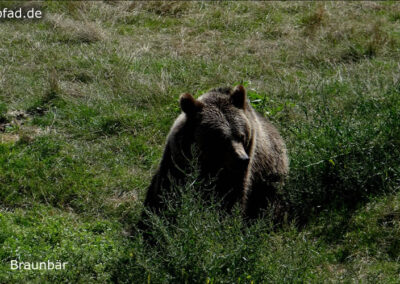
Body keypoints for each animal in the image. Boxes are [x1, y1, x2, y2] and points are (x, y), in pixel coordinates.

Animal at [142, 85, 290, 219]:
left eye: (241, 136)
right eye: (221, 139)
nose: (242, 159)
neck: (210, 164)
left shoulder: (241, 171)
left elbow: (232, 196)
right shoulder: (178, 160)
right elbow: (167, 190)